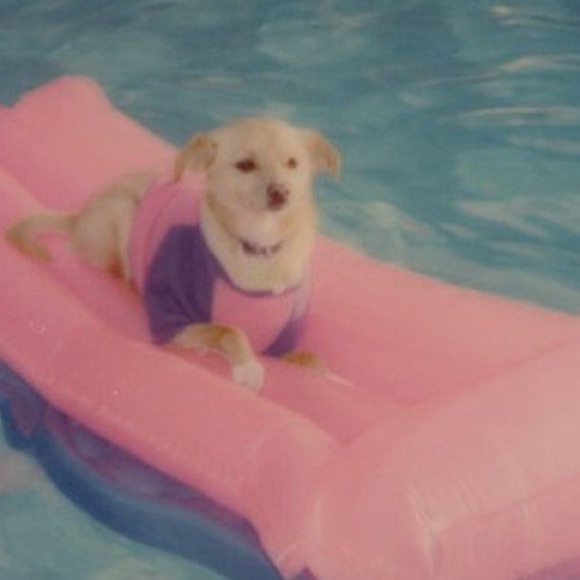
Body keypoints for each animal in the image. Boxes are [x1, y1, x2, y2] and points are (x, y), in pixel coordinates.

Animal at [6, 117, 340, 390]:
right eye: (245, 165)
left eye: (293, 163)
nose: (281, 193)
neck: (260, 248)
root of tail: (78, 217)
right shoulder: (175, 323)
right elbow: (228, 329)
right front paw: (247, 368)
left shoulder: (282, 345)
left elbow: (308, 358)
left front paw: (313, 367)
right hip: (124, 212)